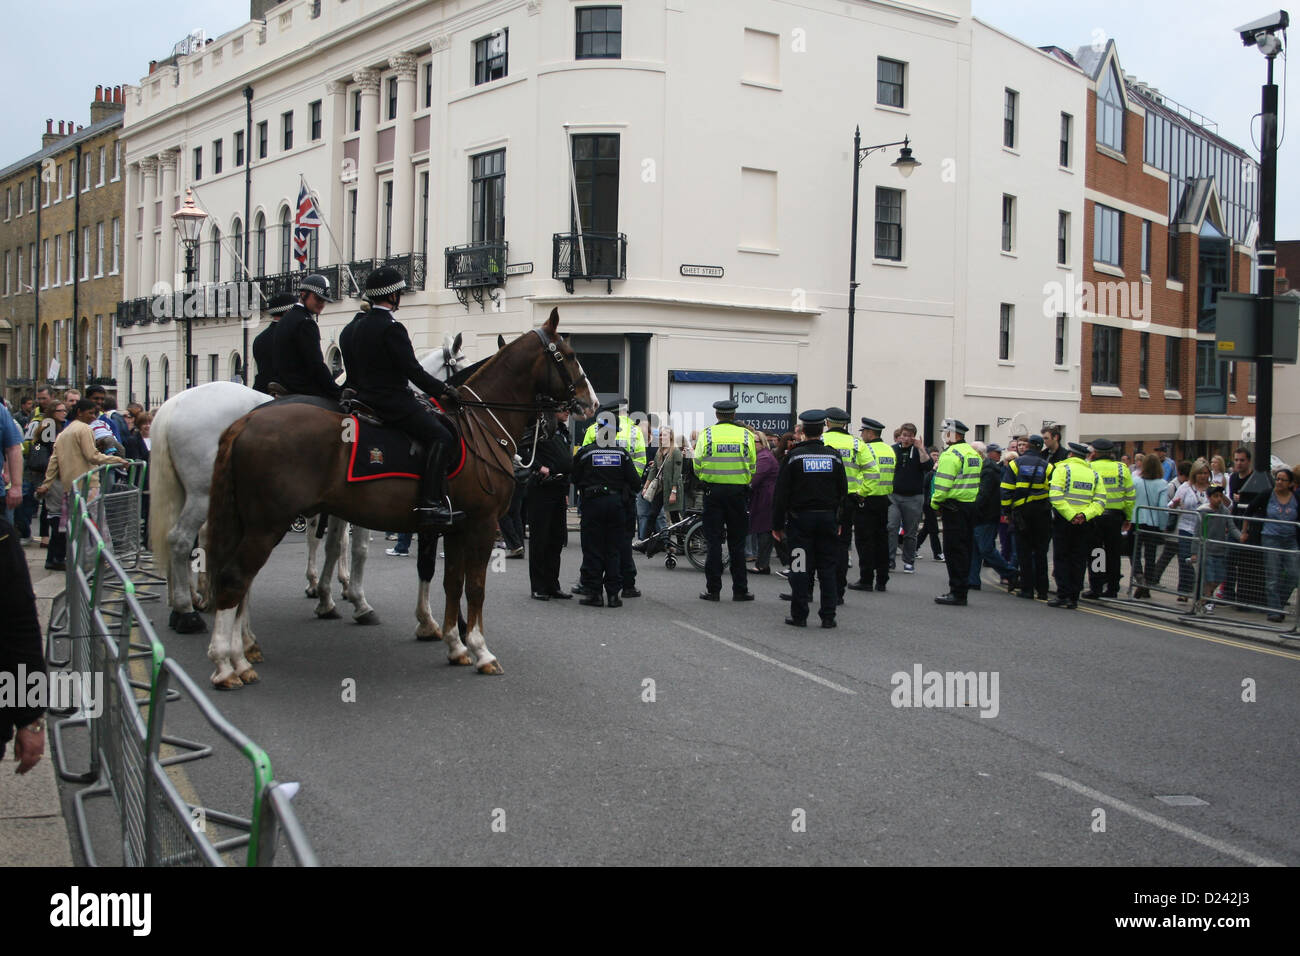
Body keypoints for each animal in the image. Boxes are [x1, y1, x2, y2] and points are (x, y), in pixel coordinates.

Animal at [149, 332, 466, 638]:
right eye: (463, 363)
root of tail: (172, 405)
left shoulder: (338, 503)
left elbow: (331, 542)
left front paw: (329, 591)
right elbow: (353, 547)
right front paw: (355, 599)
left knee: (195, 538)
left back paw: (189, 600)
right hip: (205, 495)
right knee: (181, 539)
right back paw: (187, 612)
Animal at [202, 308, 595, 688]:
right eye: (570, 355)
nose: (589, 403)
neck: (481, 423)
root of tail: (246, 420)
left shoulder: (455, 526)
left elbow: (450, 581)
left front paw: (453, 643)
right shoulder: (480, 525)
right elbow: (475, 587)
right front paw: (479, 649)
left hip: (250, 522)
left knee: (237, 578)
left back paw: (242, 654)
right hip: (267, 525)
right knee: (236, 578)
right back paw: (226, 664)